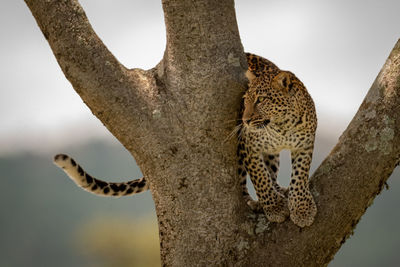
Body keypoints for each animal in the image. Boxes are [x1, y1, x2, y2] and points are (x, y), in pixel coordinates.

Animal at [238, 54, 318, 228]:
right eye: (245, 100)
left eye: (261, 99)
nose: (245, 121)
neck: (283, 126)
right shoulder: (248, 146)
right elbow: (260, 177)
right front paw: (275, 208)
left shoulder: (304, 145)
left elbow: (300, 175)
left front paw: (302, 209)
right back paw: (253, 202)